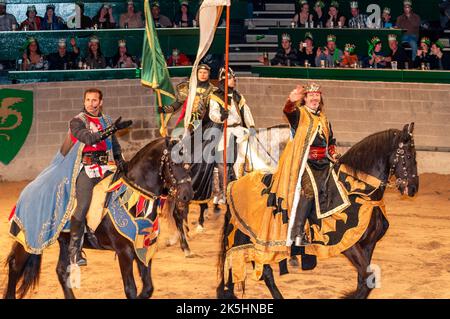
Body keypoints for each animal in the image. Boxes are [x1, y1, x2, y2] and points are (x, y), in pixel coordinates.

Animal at [3, 138, 193, 300]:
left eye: (189, 162)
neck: (133, 195)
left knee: (61, 271)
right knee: (15, 266)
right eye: (174, 162)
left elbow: (148, 288)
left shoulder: (144, 248)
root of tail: (29, 189)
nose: (187, 195)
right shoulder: (124, 251)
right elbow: (131, 289)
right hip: (29, 240)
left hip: (64, 241)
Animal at [217, 123, 418, 300]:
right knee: (245, 265)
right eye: (407, 155)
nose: (413, 188)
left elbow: (364, 280)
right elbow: (369, 278)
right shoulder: (348, 245)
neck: (357, 193)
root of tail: (235, 183)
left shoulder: (368, 245)